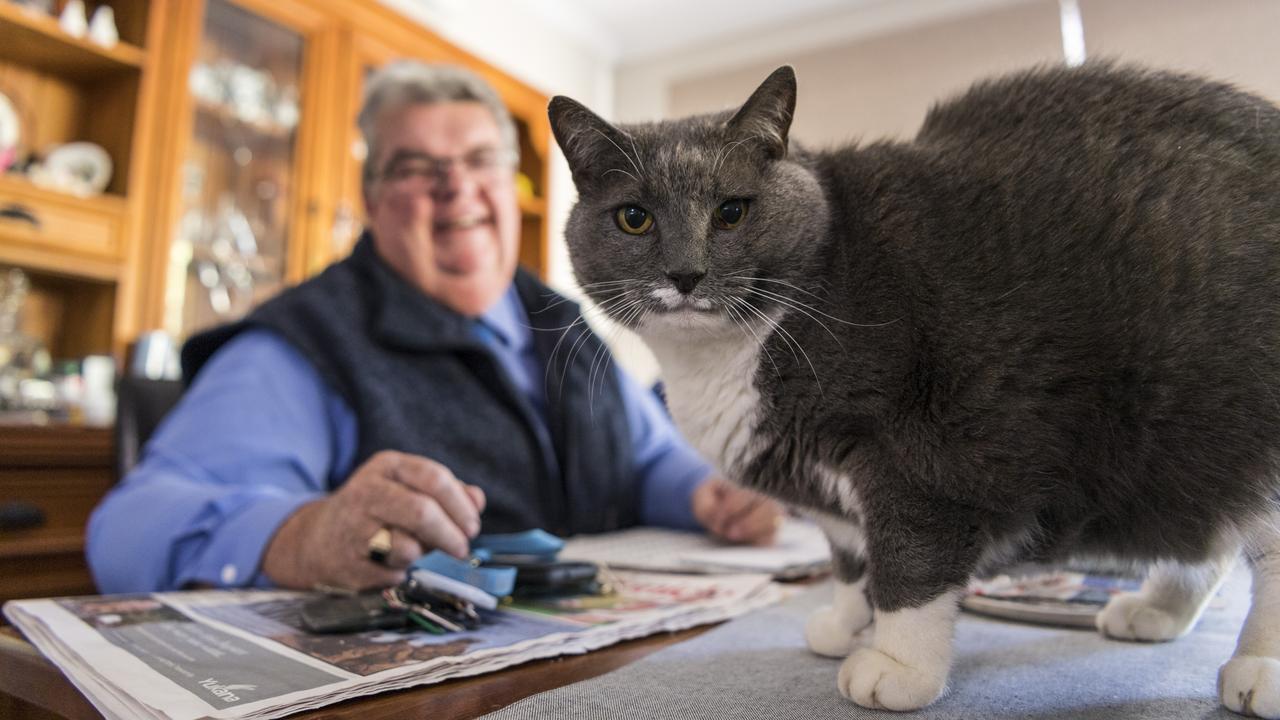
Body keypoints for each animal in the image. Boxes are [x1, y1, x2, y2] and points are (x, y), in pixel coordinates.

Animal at [547, 65, 1280, 712]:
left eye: (731, 212)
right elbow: (849, 556)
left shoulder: (919, 454)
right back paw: (1154, 610)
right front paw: (846, 625)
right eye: (635, 218)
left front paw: (896, 665)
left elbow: (908, 559)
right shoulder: (827, 486)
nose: (686, 273)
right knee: (1208, 538)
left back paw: (1258, 671)